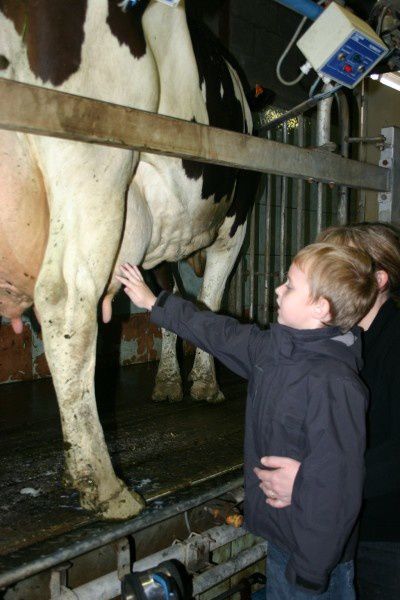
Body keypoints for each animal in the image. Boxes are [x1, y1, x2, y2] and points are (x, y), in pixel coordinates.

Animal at [0, 0, 256, 520]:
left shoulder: (158, 244)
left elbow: (172, 304)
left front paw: (168, 383)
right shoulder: (235, 222)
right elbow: (214, 298)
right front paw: (206, 385)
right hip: (94, 155)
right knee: (65, 300)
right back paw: (105, 484)